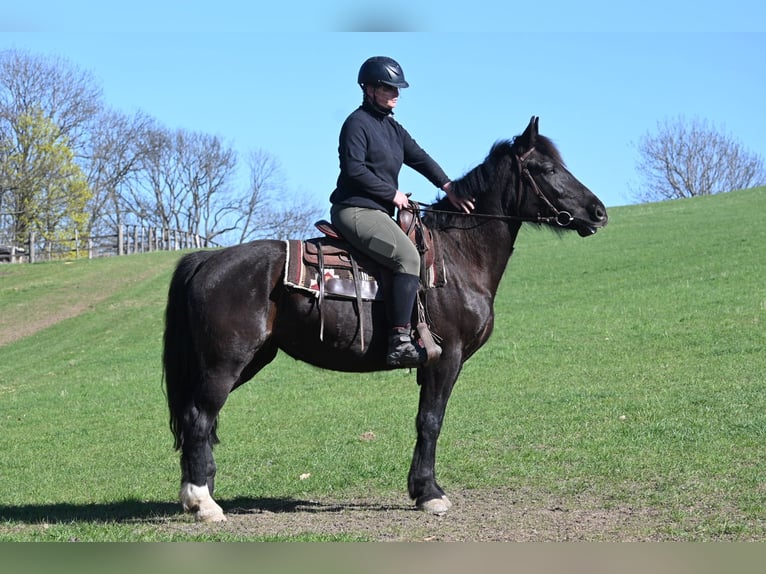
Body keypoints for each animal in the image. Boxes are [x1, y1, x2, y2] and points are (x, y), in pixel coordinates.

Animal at [163, 116, 608, 522]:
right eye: (546, 169)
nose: (599, 212)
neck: (456, 257)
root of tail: (206, 260)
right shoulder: (445, 359)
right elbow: (430, 421)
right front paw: (429, 493)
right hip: (224, 364)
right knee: (199, 419)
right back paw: (204, 503)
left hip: (244, 362)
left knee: (198, 421)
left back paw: (198, 493)